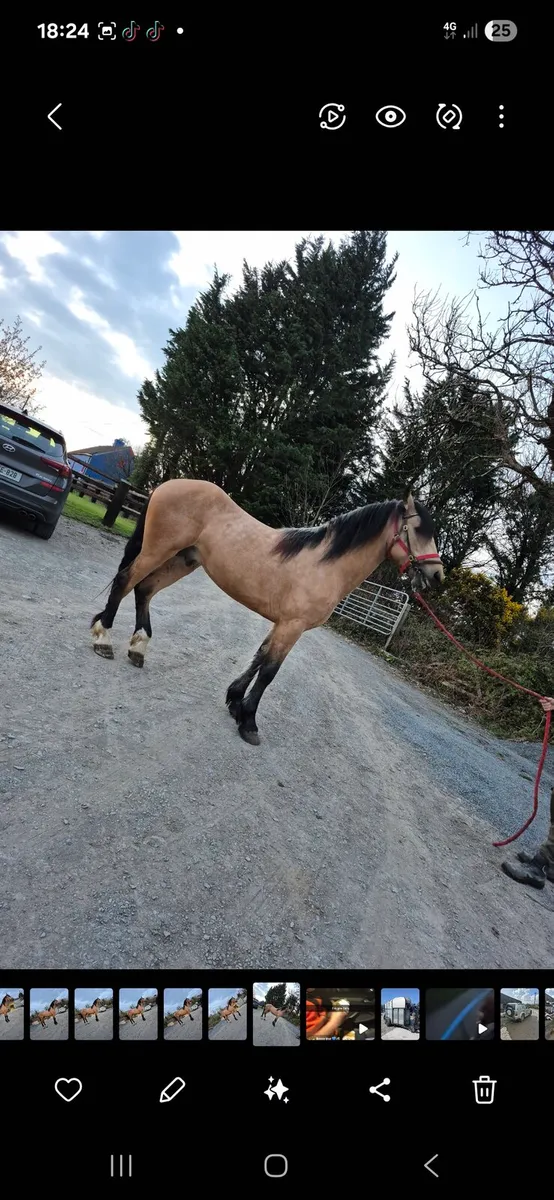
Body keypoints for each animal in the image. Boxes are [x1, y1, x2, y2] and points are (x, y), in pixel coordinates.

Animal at [90, 481, 443, 746]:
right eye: (416, 528)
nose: (437, 575)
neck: (325, 565)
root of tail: (166, 485)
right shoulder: (293, 626)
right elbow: (269, 671)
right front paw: (249, 722)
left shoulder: (282, 624)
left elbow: (259, 657)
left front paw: (235, 701)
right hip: (158, 550)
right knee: (125, 581)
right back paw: (103, 638)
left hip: (182, 560)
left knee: (144, 590)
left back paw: (138, 648)